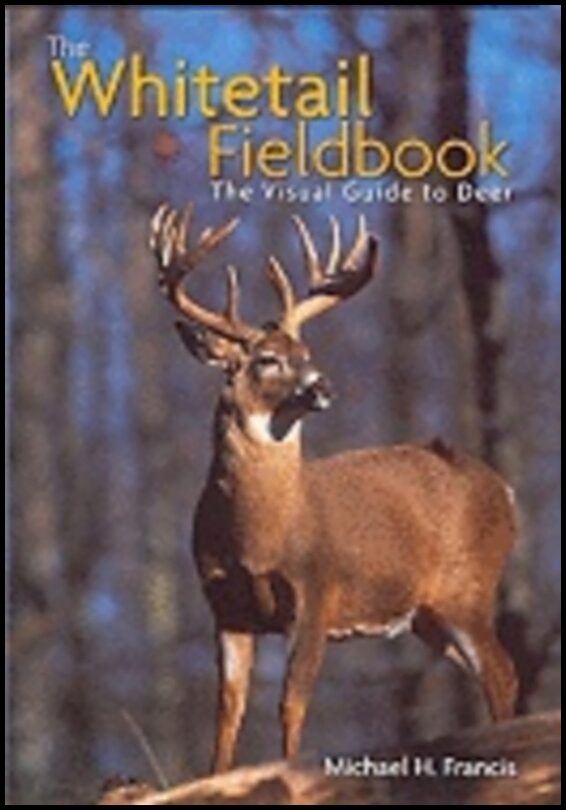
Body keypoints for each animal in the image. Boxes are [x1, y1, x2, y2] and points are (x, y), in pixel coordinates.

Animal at [149, 203, 519, 774]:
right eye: (266, 359)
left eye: (305, 351)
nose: (322, 385)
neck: (258, 538)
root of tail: (504, 490)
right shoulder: (224, 605)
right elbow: (227, 711)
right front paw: (216, 780)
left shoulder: (317, 591)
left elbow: (292, 702)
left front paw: (289, 775)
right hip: (429, 615)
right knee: (503, 674)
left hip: (469, 588)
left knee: (501, 675)